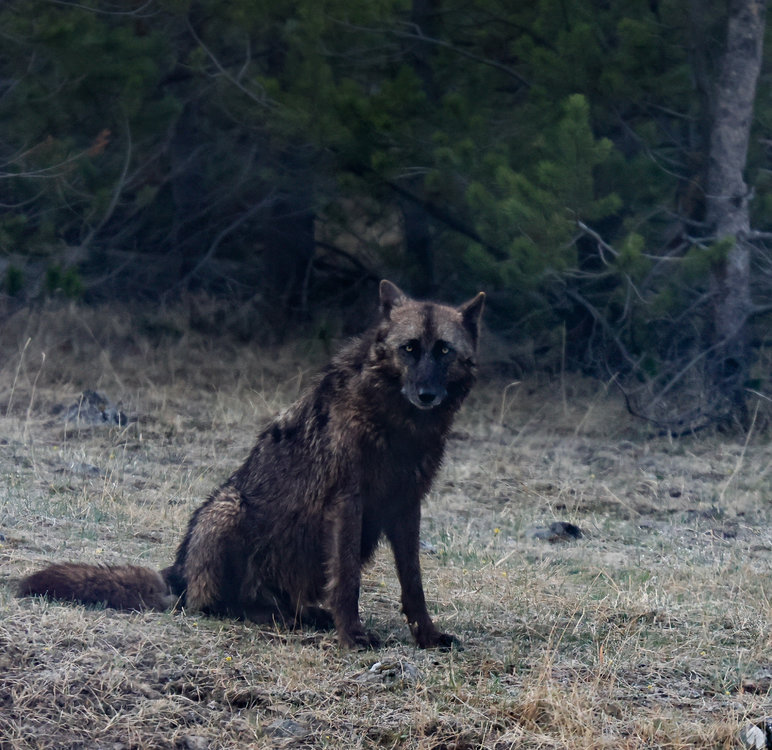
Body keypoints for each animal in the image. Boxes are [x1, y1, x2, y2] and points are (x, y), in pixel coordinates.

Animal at [18, 280, 485, 649]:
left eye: (443, 350)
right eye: (410, 349)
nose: (426, 394)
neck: (398, 425)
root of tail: (175, 575)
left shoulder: (407, 507)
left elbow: (414, 584)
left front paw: (427, 636)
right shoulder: (348, 502)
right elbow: (348, 580)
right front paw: (352, 636)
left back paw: (303, 615)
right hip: (228, 508)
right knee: (215, 607)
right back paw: (272, 616)